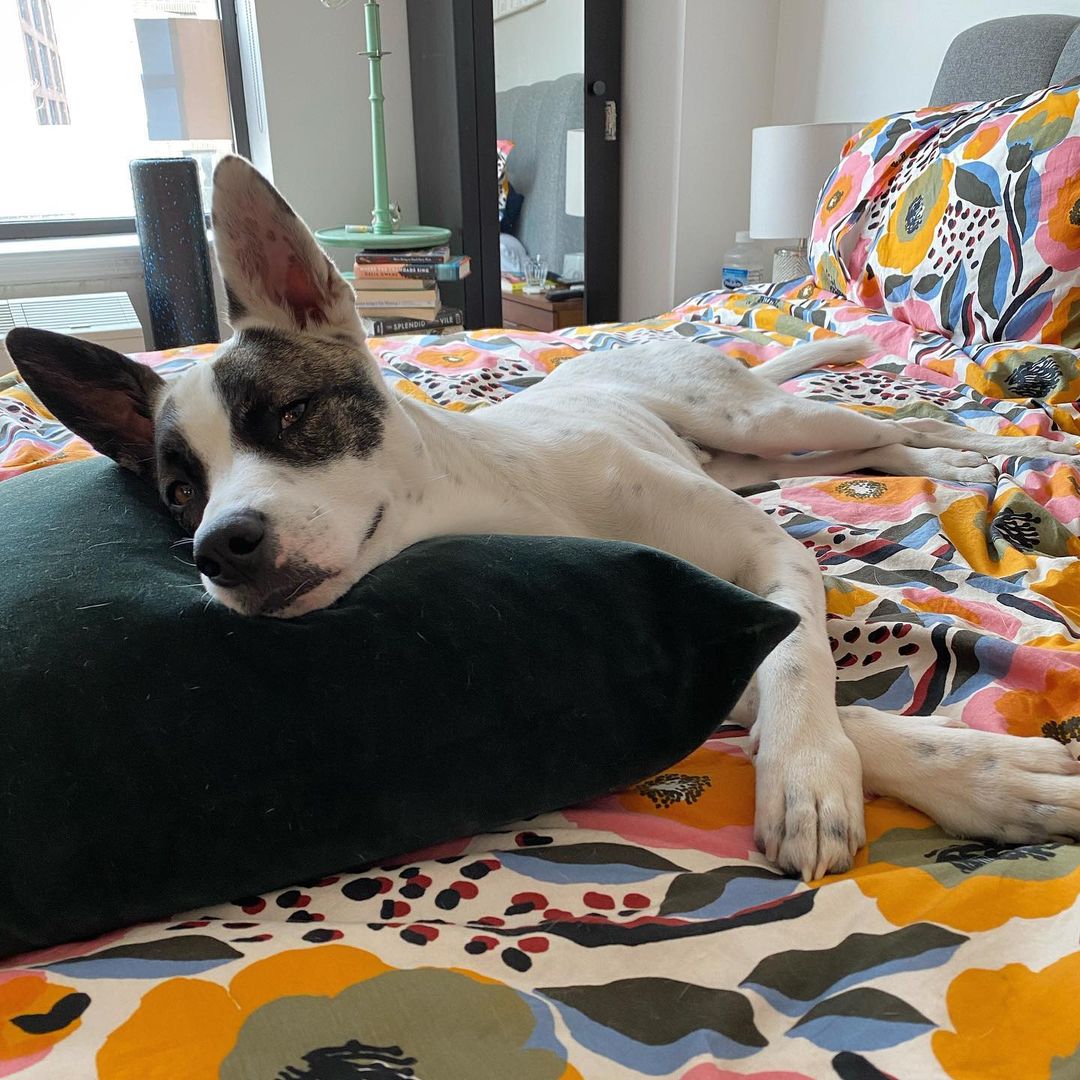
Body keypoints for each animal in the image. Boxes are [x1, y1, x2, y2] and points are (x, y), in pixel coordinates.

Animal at [8, 156, 1080, 881]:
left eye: (291, 414)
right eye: (177, 493)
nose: (218, 549)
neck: (504, 492)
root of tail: (641, 349)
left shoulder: (771, 553)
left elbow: (800, 659)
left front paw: (813, 773)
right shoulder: (709, 630)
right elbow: (780, 675)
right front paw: (983, 774)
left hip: (756, 421)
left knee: (890, 420)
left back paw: (976, 451)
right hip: (743, 457)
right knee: (856, 454)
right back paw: (947, 464)